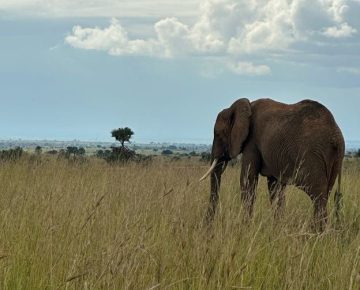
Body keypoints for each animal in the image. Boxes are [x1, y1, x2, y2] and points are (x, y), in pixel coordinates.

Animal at [201, 98, 344, 230]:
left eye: (218, 134)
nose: (208, 228)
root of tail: (336, 137)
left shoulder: (252, 142)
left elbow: (248, 180)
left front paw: (245, 227)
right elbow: (275, 188)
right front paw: (278, 228)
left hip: (312, 156)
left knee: (318, 198)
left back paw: (317, 234)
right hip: (336, 160)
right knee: (324, 195)